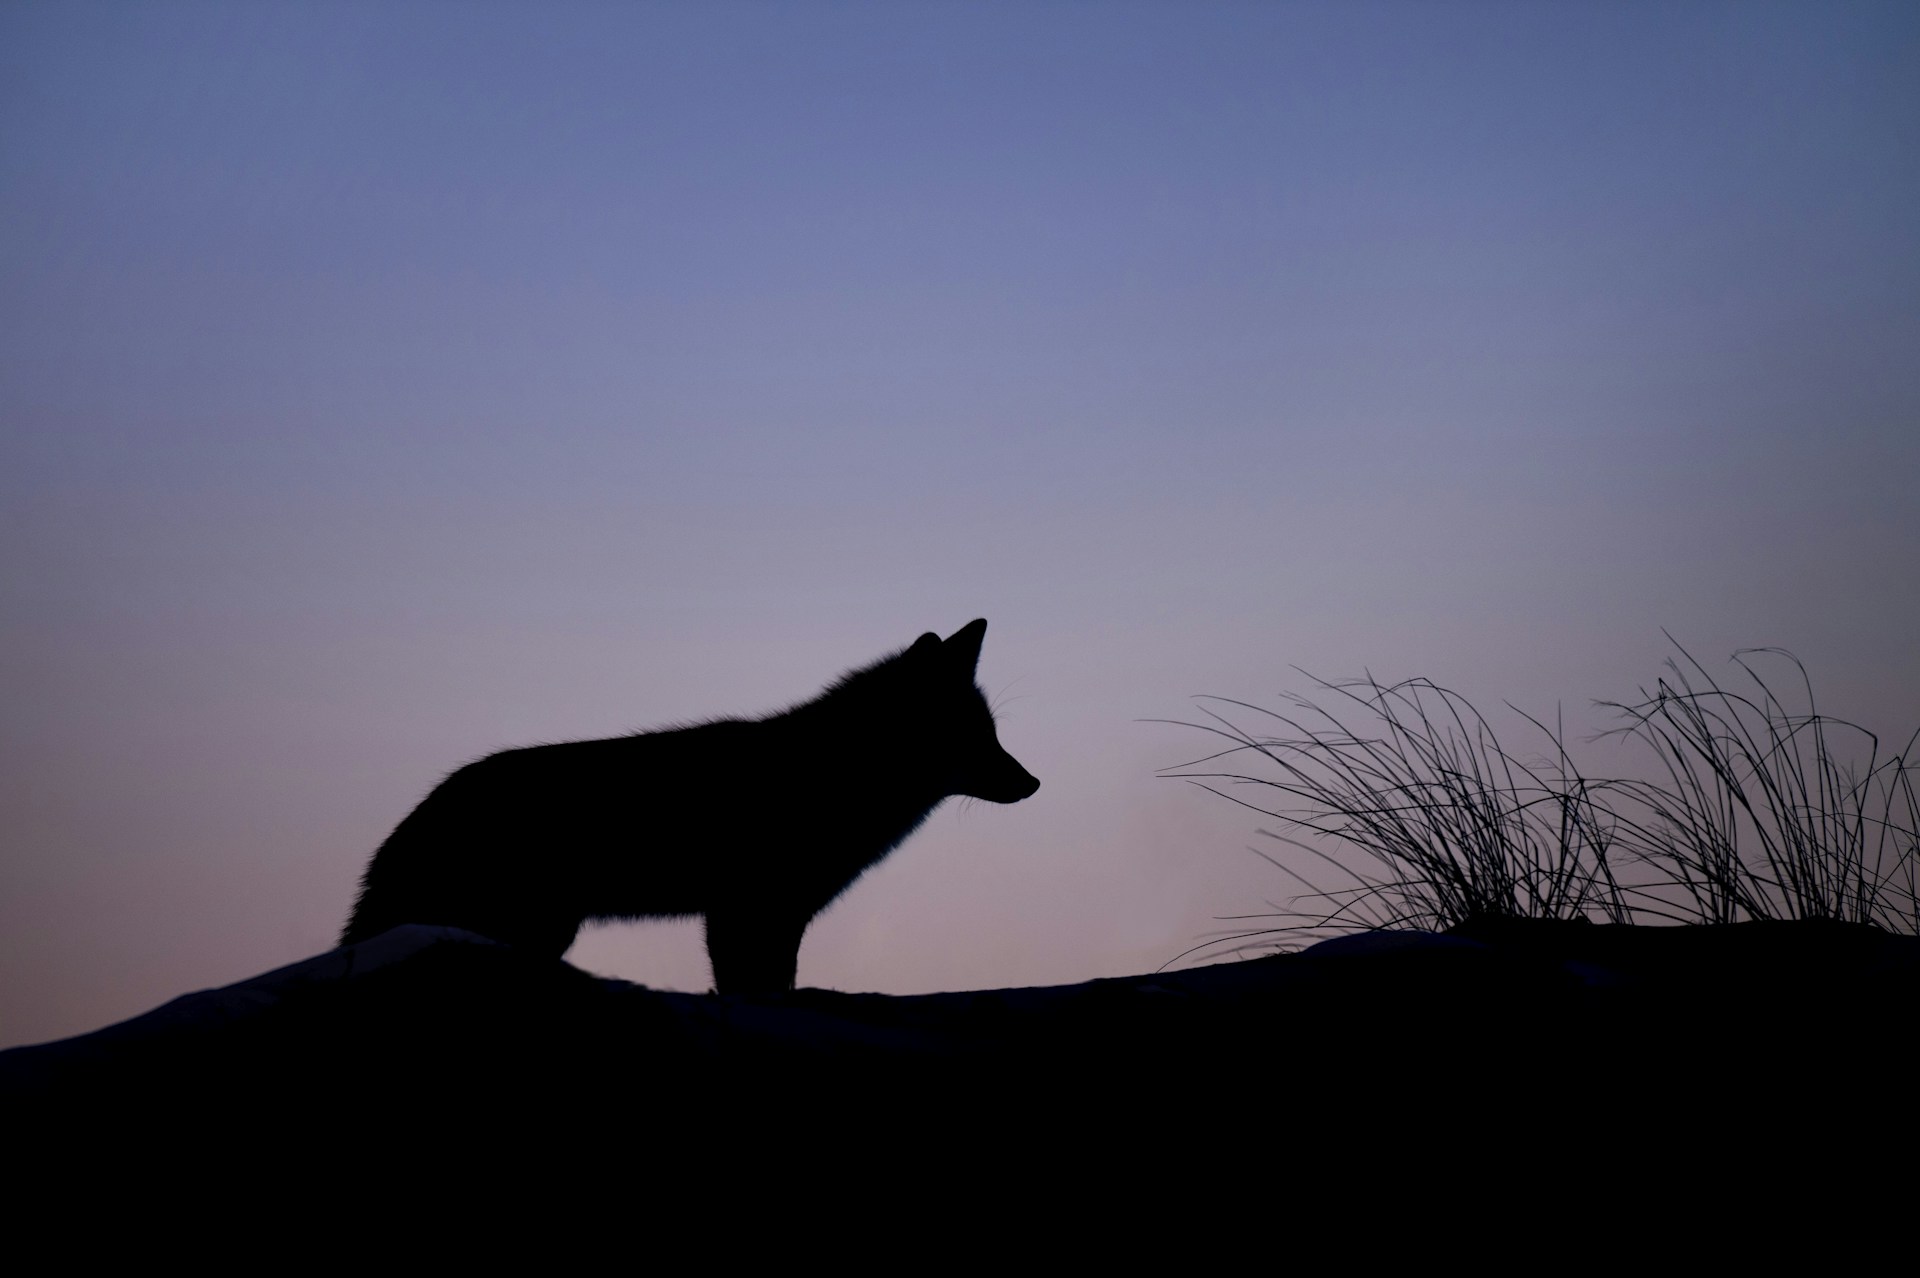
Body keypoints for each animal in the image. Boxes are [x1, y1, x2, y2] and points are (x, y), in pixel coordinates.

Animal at [341, 619, 1038, 994]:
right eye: (974, 737)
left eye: (992, 733)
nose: (1033, 784)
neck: (833, 774)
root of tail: (416, 817)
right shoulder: (745, 912)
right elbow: (753, 989)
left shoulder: (777, 916)